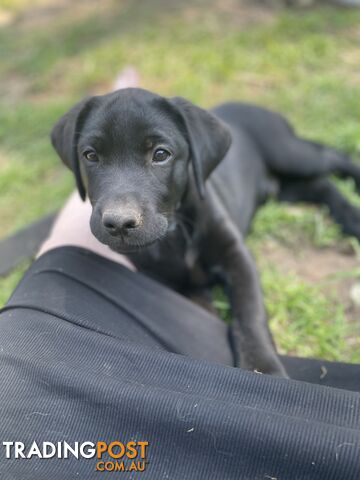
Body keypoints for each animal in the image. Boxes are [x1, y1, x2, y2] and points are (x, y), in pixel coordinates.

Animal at [50, 88, 360, 376]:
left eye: (160, 154)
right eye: (90, 155)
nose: (119, 223)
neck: (175, 232)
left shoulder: (236, 257)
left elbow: (250, 314)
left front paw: (262, 368)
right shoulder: (179, 287)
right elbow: (205, 320)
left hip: (288, 152)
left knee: (333, 157)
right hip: (282, 189)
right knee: (320, 185)